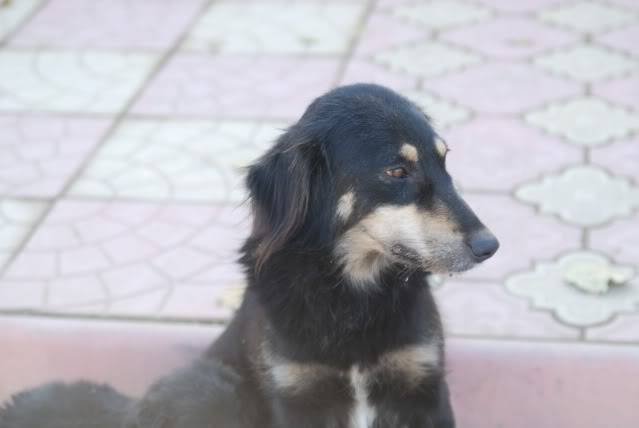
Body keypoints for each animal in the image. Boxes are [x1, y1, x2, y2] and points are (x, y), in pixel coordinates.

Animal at [1, 84, 500, 428]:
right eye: (397, 171)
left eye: (444, 162)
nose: (489, 246)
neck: (350, 294)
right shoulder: (296, 399)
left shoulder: (424, 388)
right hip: (212, 386)